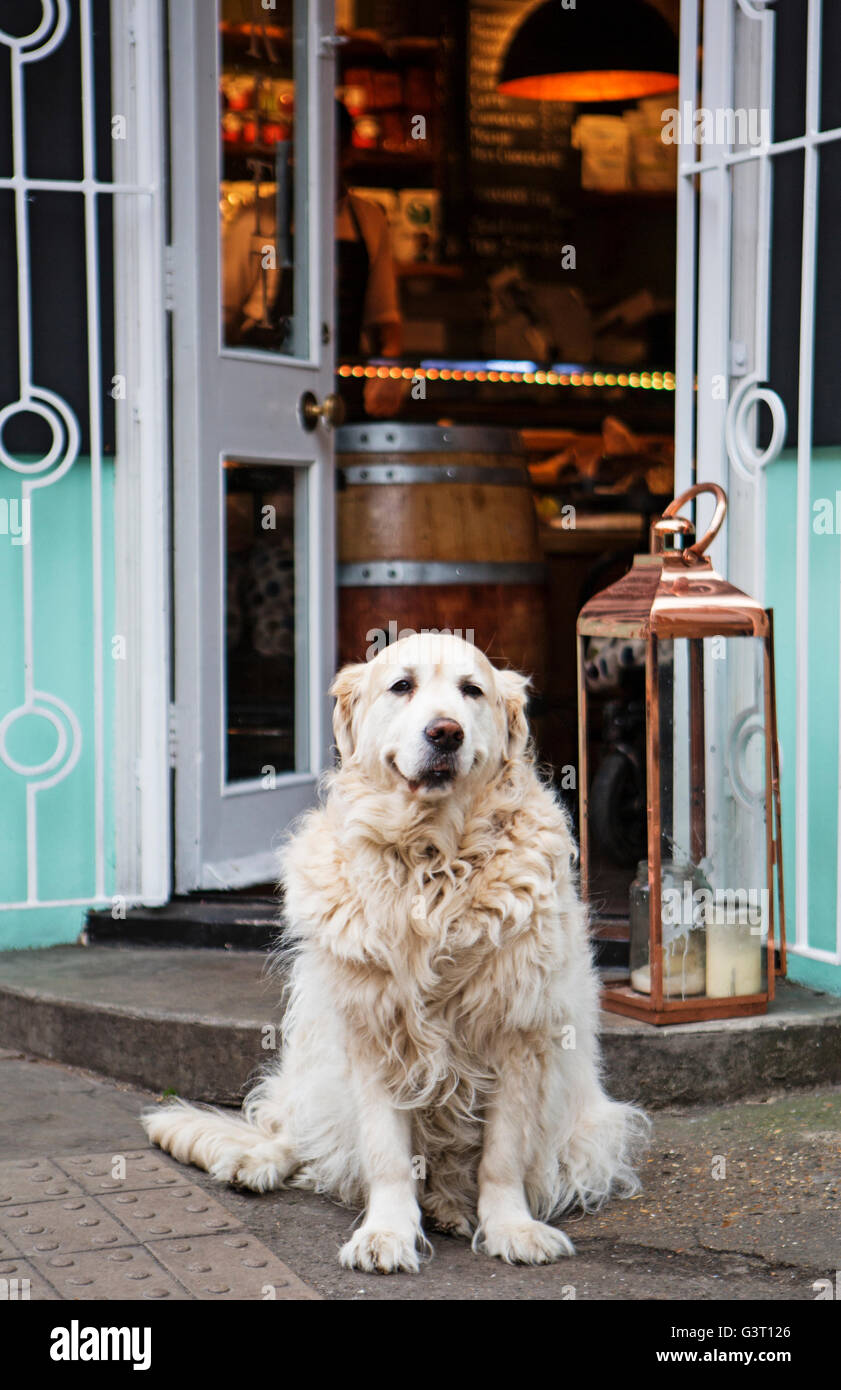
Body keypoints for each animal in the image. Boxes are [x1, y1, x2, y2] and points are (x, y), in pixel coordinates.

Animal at [142, 631, 642, 1273]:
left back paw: (452, 1209)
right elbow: (384, 1154)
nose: (445, 732)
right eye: (402, 685)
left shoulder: (517, 1031)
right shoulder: (373, 1032)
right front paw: (386, 1234)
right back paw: (255, 1162)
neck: (433, 861)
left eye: (471, 690)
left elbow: (503, 1154)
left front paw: (510, 1227)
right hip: (315, 1066)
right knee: (293, 1133)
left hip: (590, 1132)